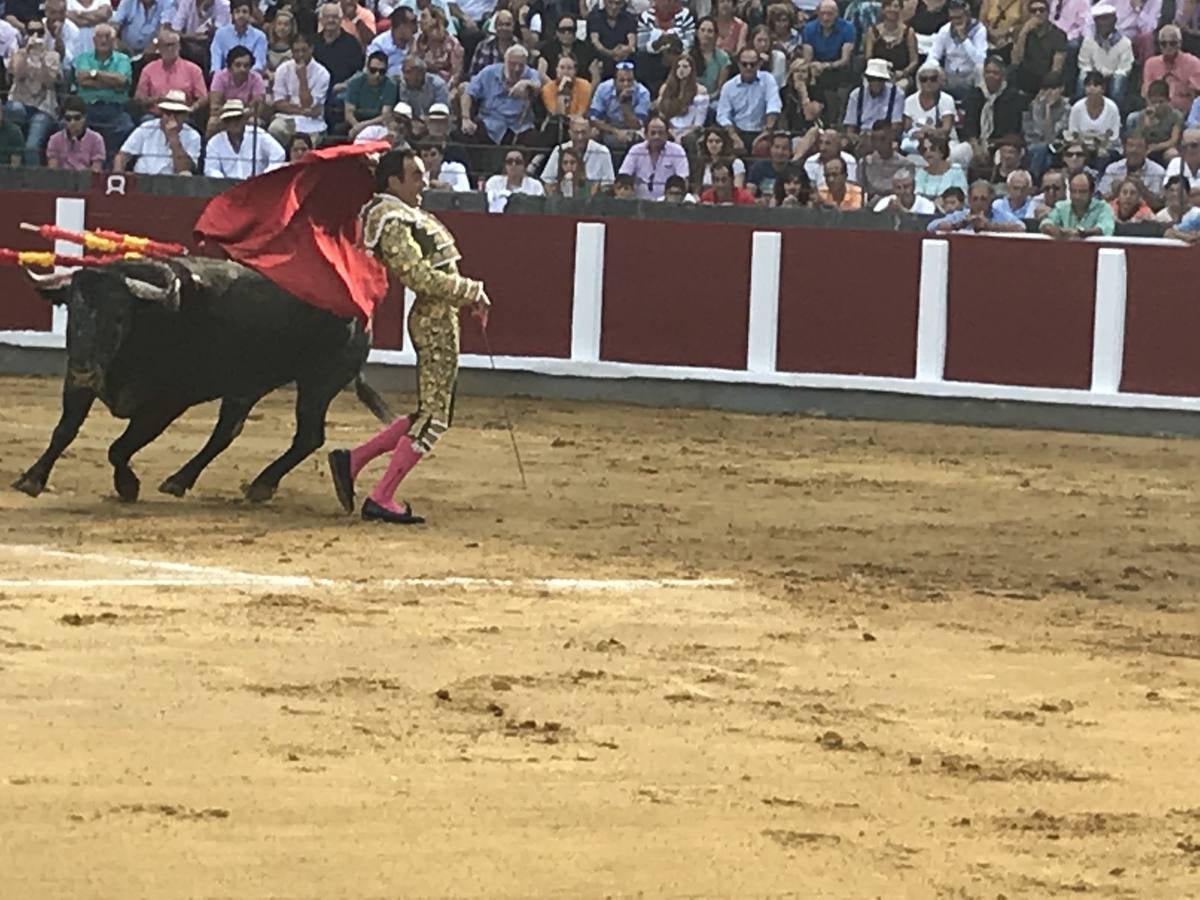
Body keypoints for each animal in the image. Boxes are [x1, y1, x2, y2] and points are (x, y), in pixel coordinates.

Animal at [12, 256, 388, 504]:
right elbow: (64, 431)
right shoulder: (79, 384)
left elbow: (119, 447)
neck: (149, 319)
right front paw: (31, 479)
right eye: (72, 312)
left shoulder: (167, 402)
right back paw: (181, 480)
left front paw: (127, 486)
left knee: (307, 436)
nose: (84, 368)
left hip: (318, 384)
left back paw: (259, 485)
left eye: (119, 317)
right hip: (247, 386)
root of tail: (363, 311)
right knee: (227, 432)